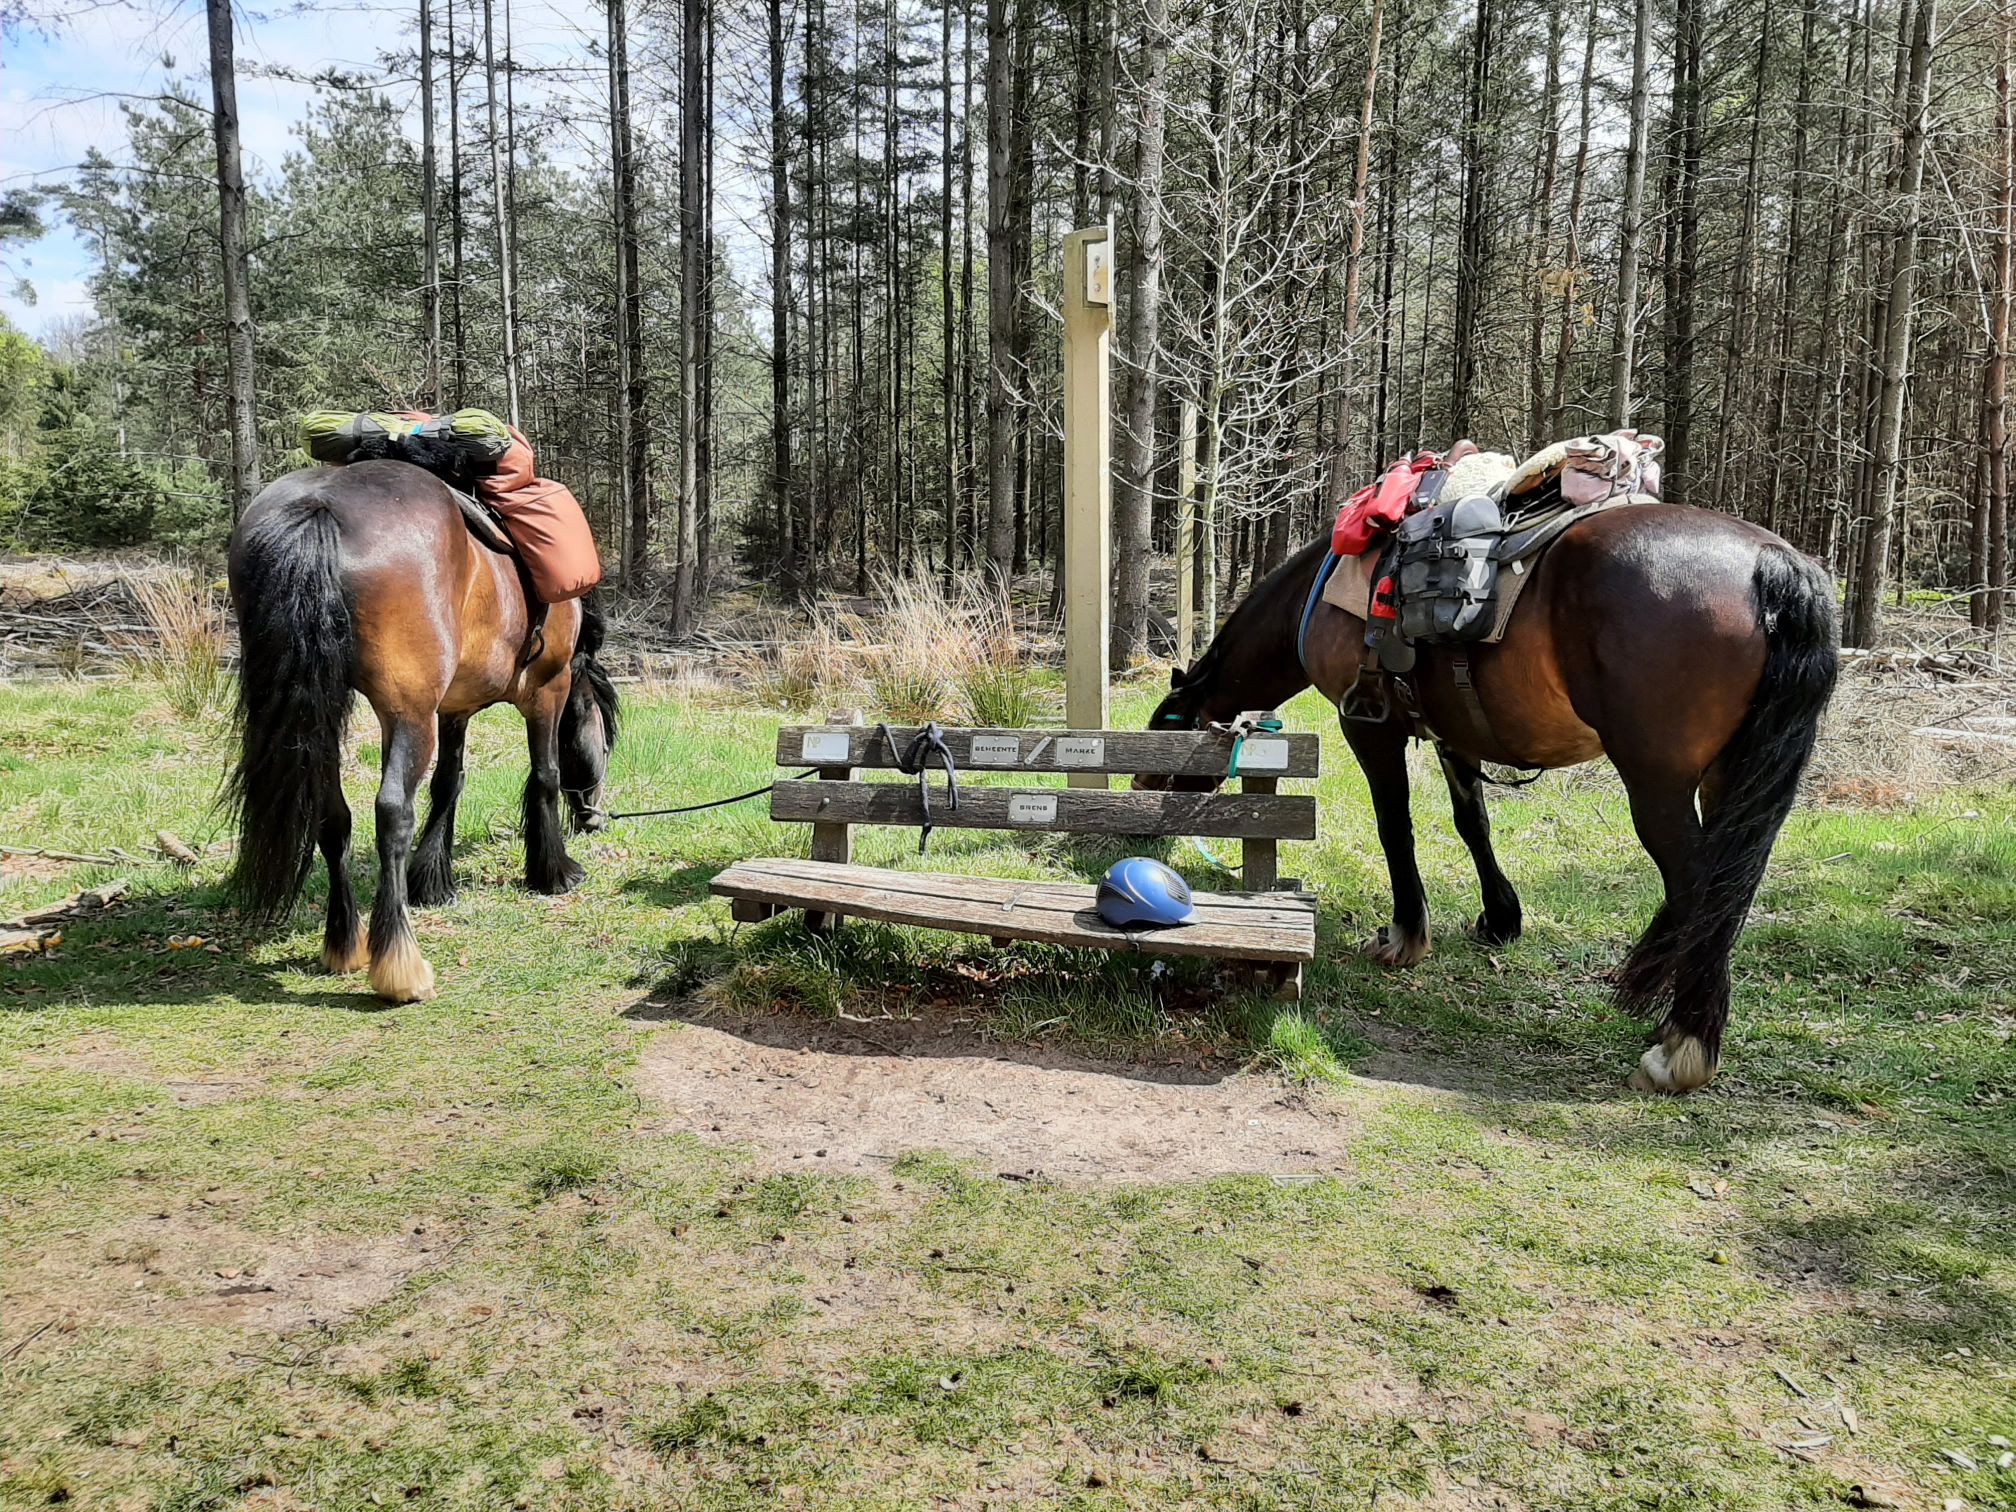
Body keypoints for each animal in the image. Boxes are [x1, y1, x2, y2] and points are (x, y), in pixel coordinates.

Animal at [220, 461, 612, 1008]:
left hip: (324, 718)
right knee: (391, 812)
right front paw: (553, 871)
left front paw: (431, 881)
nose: (595, 817)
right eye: (605, 741)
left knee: (334, 815)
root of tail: (321, 506)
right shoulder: (546, 692)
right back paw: (399, 966)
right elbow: (546, 777)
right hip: (408, 714)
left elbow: (449, 783)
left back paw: (345, 943)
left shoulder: (455, 708)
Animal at [1145, 506, 1838, 1088]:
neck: (1324, 594)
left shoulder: (1367, 723)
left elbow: (1395, 824)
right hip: (1727, 779)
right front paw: (1501, 916)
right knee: (1721, 885)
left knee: (1704, 890)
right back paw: (1661, 1007)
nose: (1143, 803)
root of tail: (1772, 563)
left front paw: (1405, 935)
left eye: (1166, 726)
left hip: (1657, 782)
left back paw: (1685, 1045)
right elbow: (1471, 819)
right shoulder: (1454, 730)